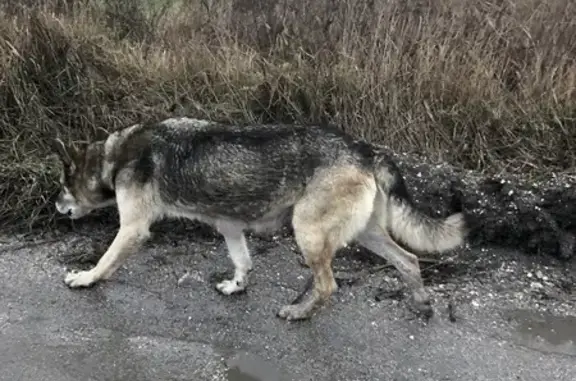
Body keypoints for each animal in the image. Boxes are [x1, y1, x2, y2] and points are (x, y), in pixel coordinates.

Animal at [51, 117, 468, 320]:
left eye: (62, 185)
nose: (55, 206)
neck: (113, 156)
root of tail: (367, 150)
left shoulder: (133, 230)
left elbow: (104, 261)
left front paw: (85, 278)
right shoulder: (229, 226)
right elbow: (242, 261)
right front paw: (237, 286)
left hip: (308, 232)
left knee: (328, 285)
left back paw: (299, 313)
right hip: (366, 235)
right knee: (409, 261)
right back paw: (422, 303)